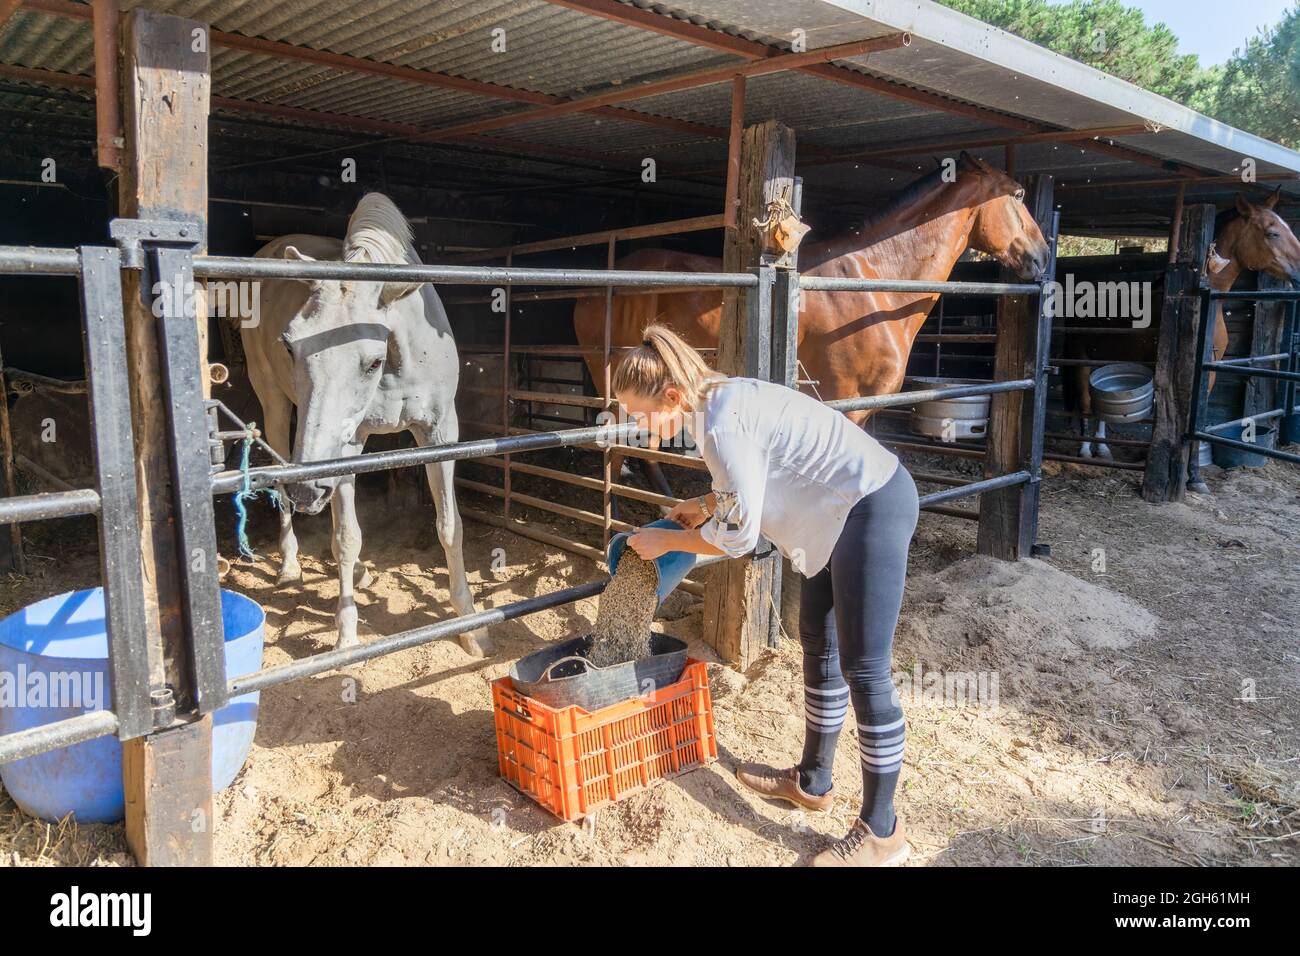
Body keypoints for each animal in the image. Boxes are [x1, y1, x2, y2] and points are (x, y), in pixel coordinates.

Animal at [241, 193, 491, 657]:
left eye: (372, 360)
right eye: (289, 344)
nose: (308, 491)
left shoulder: (440, 433)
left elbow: (450, 527)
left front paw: (471, 627)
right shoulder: (348, 444)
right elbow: (345, 537)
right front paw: (346, 632)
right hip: (275, 402)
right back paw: (290, 563)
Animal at [1068, 190, 1300, 458]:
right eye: (1272, 233)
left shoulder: (1209, 372)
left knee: (1099, 406)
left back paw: (1103, 448)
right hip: (1081, 362)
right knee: (1086, 404)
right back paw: (1085, 450)